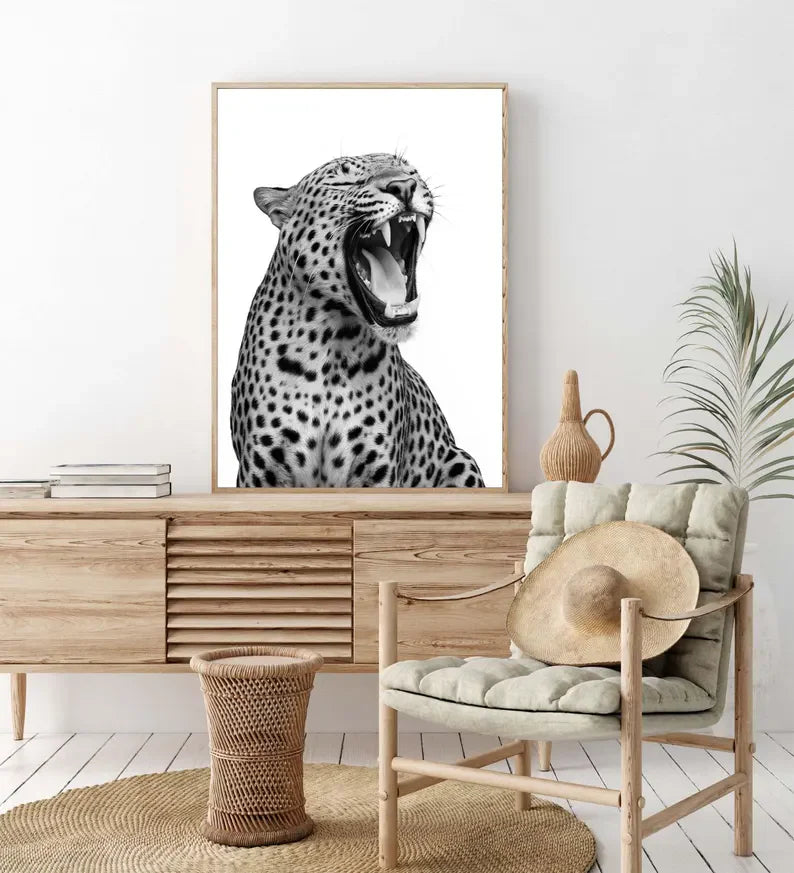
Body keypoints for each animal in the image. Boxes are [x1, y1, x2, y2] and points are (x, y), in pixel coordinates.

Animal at [230, 152, 485, 488]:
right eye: (345, 182)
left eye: (410, 170)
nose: (404, 186)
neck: (332, 344)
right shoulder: (260, 469)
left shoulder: (378, 470)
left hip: (461, 461)